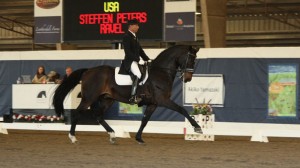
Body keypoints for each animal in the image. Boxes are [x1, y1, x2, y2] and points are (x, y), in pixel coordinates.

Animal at [53, 45, 203, 144]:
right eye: (191, 60)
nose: (188, 78)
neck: (160, 72)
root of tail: (88, 71)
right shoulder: (163, 100)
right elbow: (182, 110)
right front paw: (197, 128)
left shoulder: (153, 104)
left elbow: (144, 120)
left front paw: (139, 138)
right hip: (89, 98)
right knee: (77, 113)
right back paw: (73, 137)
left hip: (107, 99)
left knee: (99, 116)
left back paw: (112, 135)